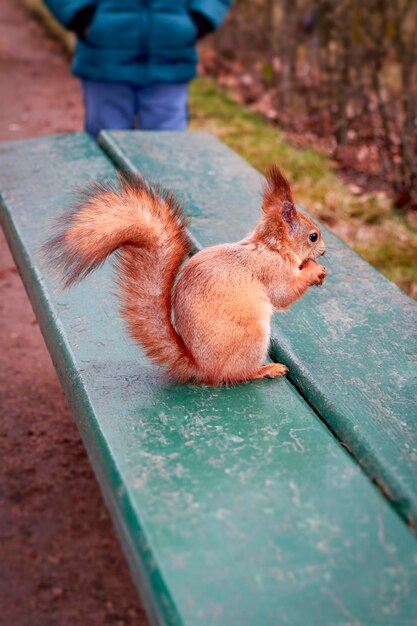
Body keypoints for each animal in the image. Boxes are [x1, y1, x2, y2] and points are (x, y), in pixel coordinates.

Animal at [44, 165, 326, 386]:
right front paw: (314, 270)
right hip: (252, 338)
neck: (271, 246)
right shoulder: (272, 270)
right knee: (235, 375)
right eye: (313, 236)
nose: (323, 251)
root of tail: (201, 366)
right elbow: (284, 294)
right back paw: (265, 369)